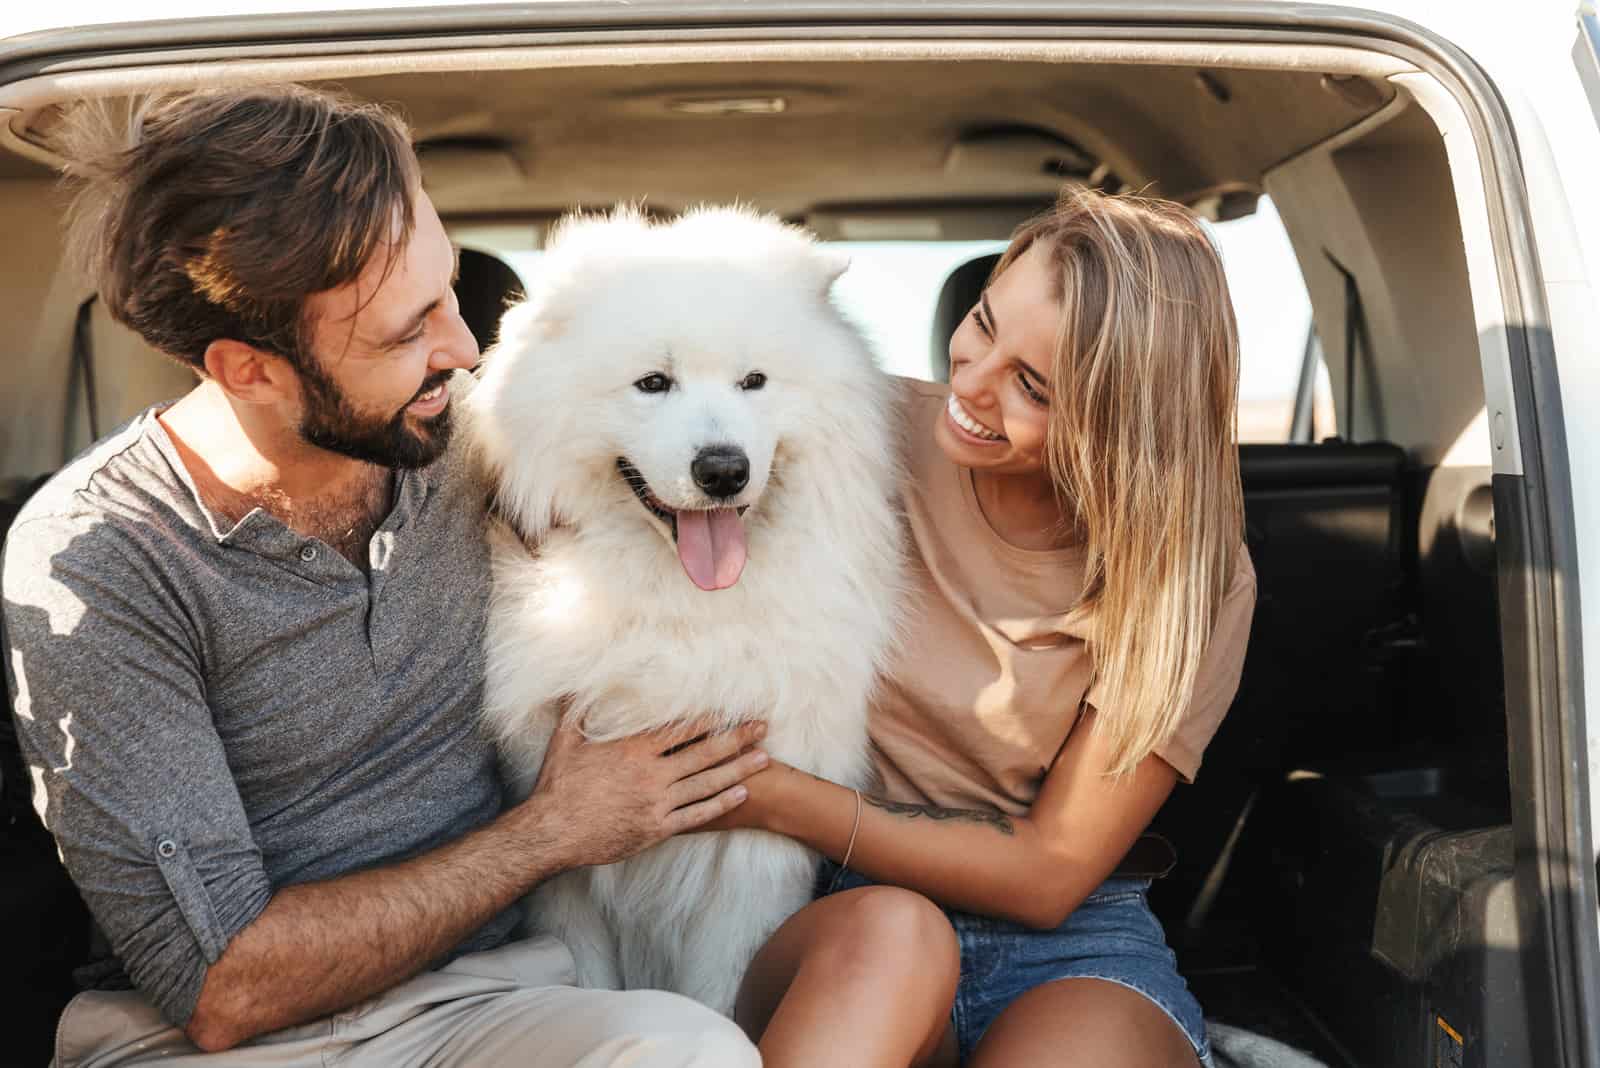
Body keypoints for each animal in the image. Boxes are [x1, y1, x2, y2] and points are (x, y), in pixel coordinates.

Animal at [467, 204, 908, 1016]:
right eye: (653, 383)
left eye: (754, 381)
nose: (724, 469)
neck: (677, 608)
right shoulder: (563, 865)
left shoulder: (752, 855)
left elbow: (718, 996)